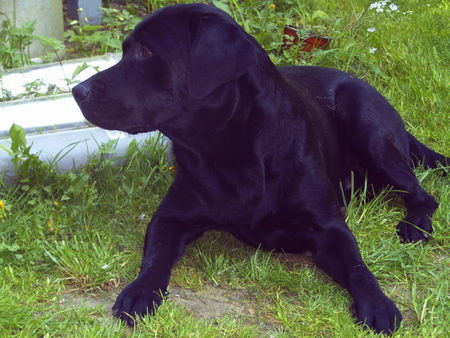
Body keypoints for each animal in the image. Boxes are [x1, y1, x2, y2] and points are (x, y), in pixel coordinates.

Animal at [72, 3, 448, 336]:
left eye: (147, 52)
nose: (77, 91)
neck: (227, 148)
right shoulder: (170, 216)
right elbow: (154, 258)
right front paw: (140, 291)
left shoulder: (329, 227)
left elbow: (357, 265)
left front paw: (377, 303)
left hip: (367, 125)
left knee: (422, 193)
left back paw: (415, 225)